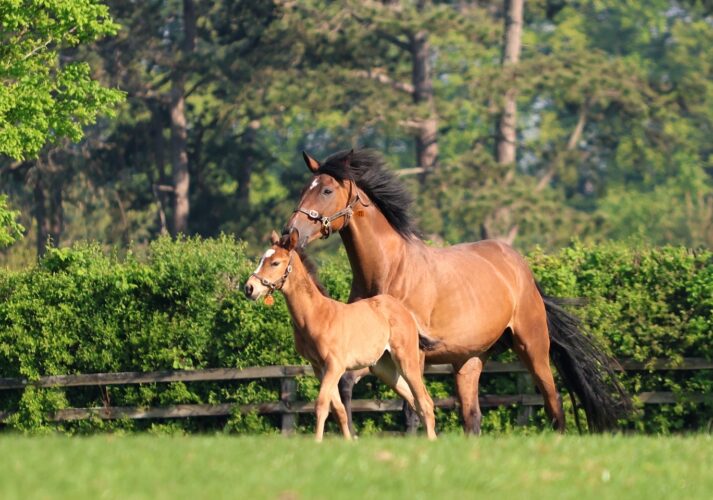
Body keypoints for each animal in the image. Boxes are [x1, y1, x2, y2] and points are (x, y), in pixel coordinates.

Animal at [244, 228, 438, 441]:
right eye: (261, 259)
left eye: (275, 263)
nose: (249, 288)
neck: (316, 315)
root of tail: (405, 311)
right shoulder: (319, 368)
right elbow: (339, 410)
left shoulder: (334, 365)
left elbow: (321, 405)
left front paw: (317, 443)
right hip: (384, 368)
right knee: (415, 400)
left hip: (406, 360)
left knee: (424, 401)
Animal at [282, 148, 632, 434]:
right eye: (303, 189)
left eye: (327, 190)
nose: (291, 233)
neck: (389, 270)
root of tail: (521, 269)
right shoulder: (371, 352)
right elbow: (345, 385)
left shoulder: (414, 353)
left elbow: (412, 407)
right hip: (469, 360)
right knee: (472, 417)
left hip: (532, 347)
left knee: (553, 402)